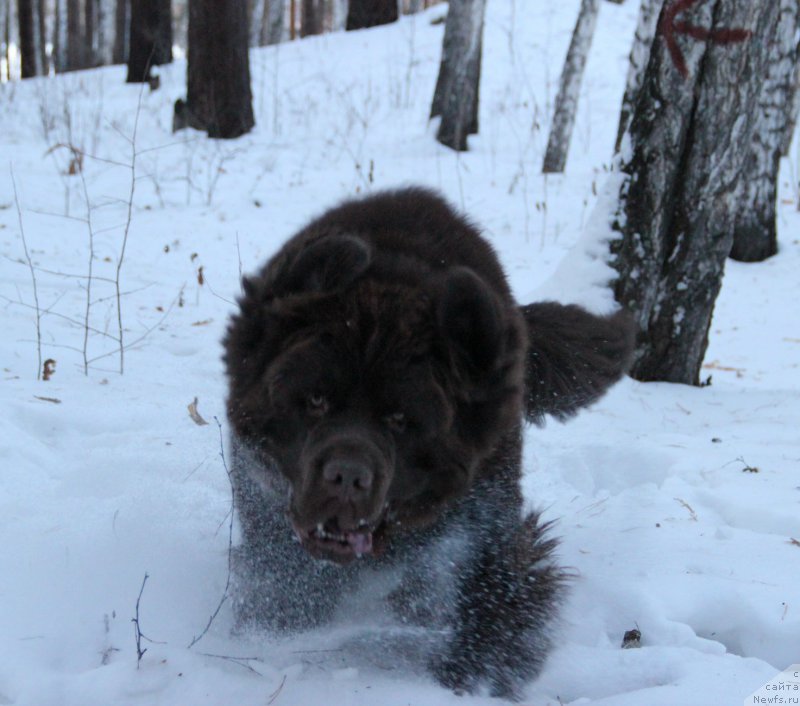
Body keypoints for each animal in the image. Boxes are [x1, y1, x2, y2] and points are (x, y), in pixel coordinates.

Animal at [223, 188, 632, 700]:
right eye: (316, 399)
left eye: (400, 419)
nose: (348, 475)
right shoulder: (264, 501)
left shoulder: (486, 516)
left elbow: (499, 590)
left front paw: (477, 674)